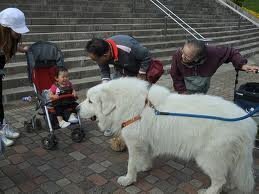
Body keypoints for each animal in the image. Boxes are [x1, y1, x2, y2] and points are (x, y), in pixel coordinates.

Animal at [79, 77, 258, 194]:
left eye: (90, 101)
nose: (76, 108)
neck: (126, 105)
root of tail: (248, 124)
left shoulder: (134, 143)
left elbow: (130, 164)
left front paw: (128, 179)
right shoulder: (144, 143)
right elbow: (146, 157)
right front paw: (145, 167)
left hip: (208, 158)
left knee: (220, 180)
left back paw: (210, 191)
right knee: (231, 174)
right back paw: (230, 187)